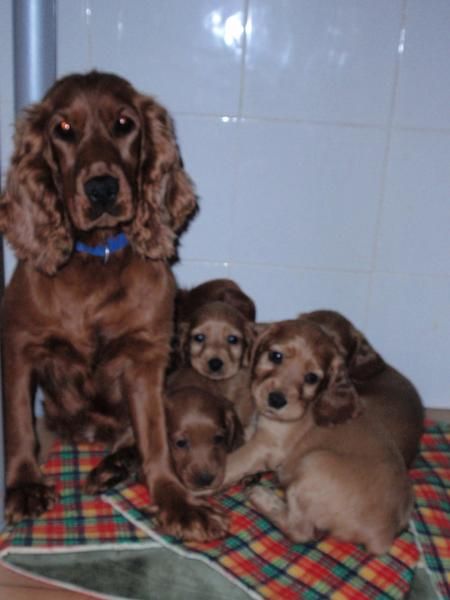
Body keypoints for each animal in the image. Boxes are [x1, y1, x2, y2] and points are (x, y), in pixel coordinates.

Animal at [0, 70, 225, 540]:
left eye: (125, 123)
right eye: (63, 128)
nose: (101, 188)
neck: (96, 256)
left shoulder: (146, 359)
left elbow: (156, 437)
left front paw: (175, 501)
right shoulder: (19, 346)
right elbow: (18, 423)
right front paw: (25, 485)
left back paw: (114, 465)